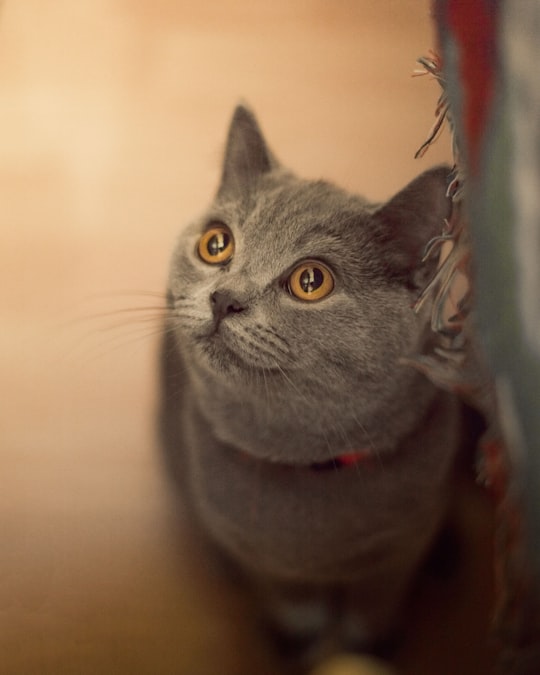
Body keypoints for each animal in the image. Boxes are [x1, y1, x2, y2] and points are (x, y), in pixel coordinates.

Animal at [159, 105, 476, 664]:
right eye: (216, 245)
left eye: (311, 281)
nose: (224, 298)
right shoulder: (262, 558)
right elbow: (293, 604)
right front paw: (300, 644)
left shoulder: (401, 548)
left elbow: (375, 602)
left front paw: (370, 646)